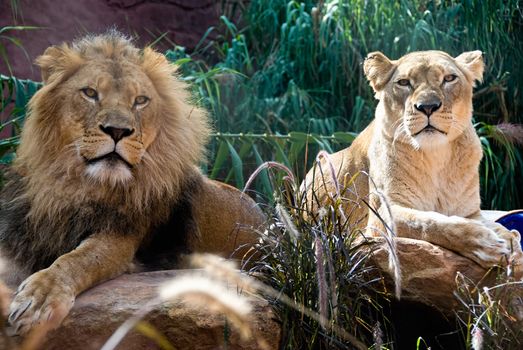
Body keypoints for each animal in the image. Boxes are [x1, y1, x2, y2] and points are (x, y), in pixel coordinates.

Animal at [0, 32, 264, 334]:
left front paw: (40, 297)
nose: (118, 131)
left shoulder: (120, 236)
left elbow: (77, 260)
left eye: (140, 100)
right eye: (90, 93)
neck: (77, 184)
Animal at [304, 50, 520, 270]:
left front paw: (510, 242)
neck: (436, 155)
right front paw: (488, 244)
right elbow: (432, 223)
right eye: (404, 82)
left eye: (449, 78)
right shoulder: (381, 215)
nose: (428, 107)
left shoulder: (471, 213)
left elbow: (495, 225)